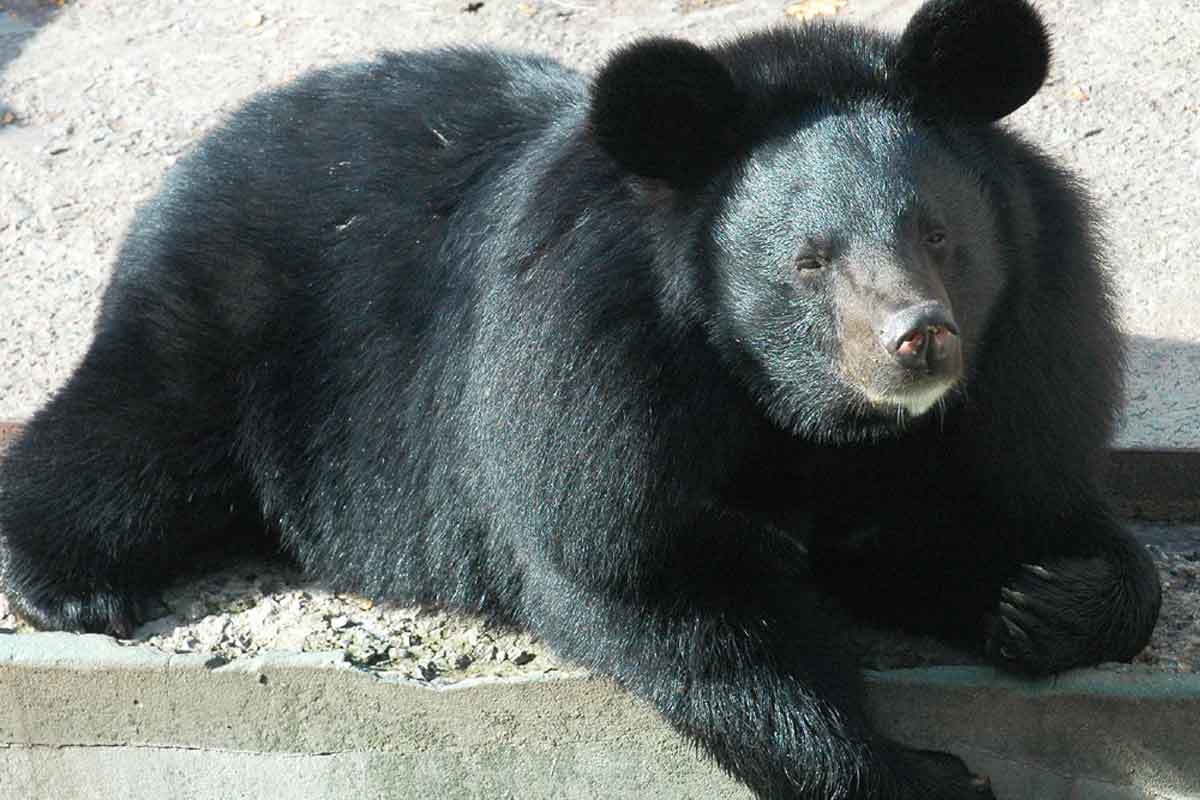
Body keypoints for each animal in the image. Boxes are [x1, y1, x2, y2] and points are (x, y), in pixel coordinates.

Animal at [0, 0, 1161, 796]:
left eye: (940, 235)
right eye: (809, 262)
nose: (918, 343)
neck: (811, 419)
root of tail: (220, 136)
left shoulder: (1019, 371)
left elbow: (1014, 505)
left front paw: (1042, 595)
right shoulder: (595, 393)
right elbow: (657, 595)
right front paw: (921, 771)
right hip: (230, 320)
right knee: (132, 440)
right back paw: (76, 587)